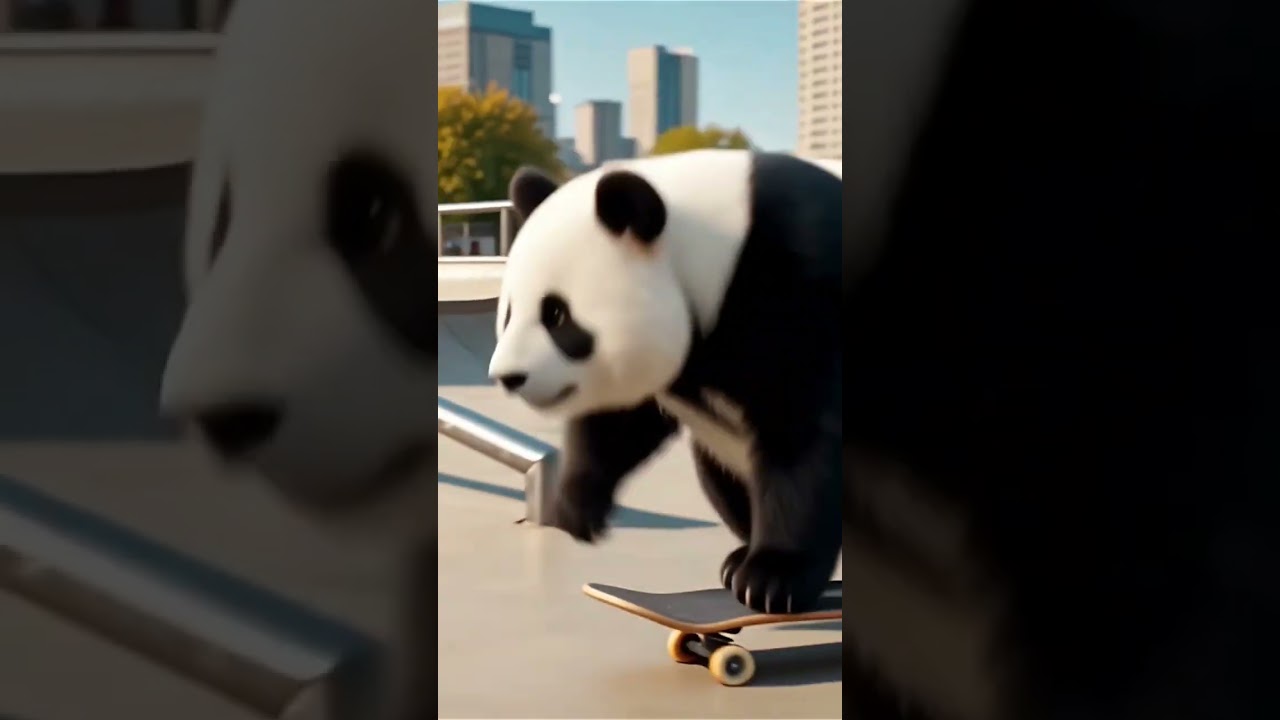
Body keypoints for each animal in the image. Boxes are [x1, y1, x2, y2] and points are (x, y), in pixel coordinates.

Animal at [487, 148, 843, 615]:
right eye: (509, 312)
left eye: (557, 315)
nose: (509, 377)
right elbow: (621, 419)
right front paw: (579, 508)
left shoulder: (798, 286)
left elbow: (799, 431)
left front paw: (774, 578)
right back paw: (737, 559)